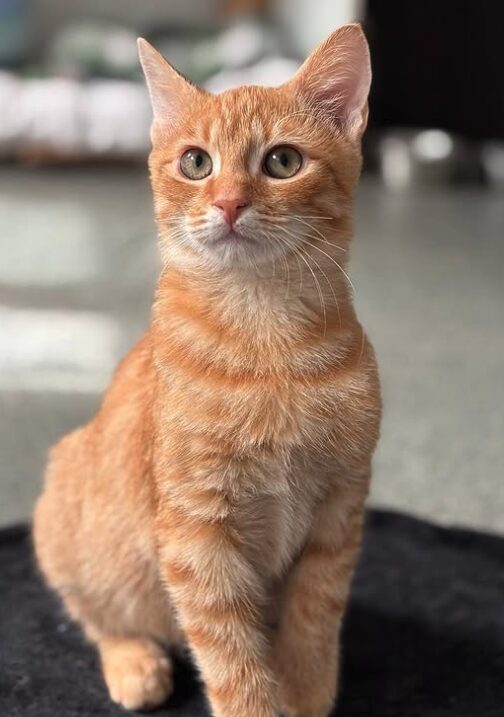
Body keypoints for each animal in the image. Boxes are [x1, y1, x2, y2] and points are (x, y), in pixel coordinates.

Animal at [33, 22, 380, 716]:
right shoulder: (197, 534)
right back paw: (135, 663)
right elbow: (231, 656)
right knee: (96, 616)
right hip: (72, 531)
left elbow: (313, 615)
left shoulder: (339, 509)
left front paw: (305, 687)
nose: (228, 205)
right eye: (197, 163)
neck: (270, 344)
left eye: (282, 161)